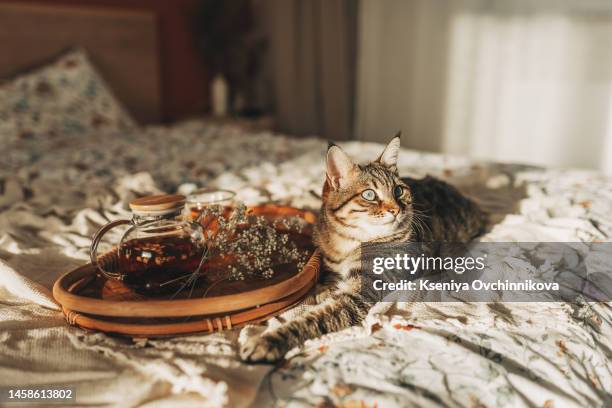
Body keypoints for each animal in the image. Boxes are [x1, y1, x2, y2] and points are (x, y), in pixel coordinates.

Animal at [241, 135, 486, 364]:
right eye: (369, 195)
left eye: (398, 190)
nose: (396, 209)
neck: (348, 241)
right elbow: (329, 280)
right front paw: (321, 291)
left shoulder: (359, 295)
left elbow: (312, 320)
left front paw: (268, 340)